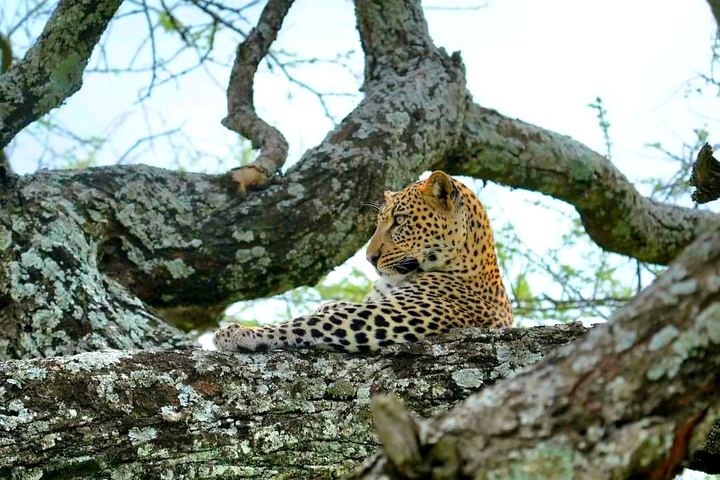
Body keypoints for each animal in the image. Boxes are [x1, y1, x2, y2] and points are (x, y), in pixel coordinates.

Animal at [213, 171, 513, 353]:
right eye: (379, 222)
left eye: (399, 220)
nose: (370, 258)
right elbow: (331, 309)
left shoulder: (387, 315)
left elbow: (310, 322)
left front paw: (239, 332)